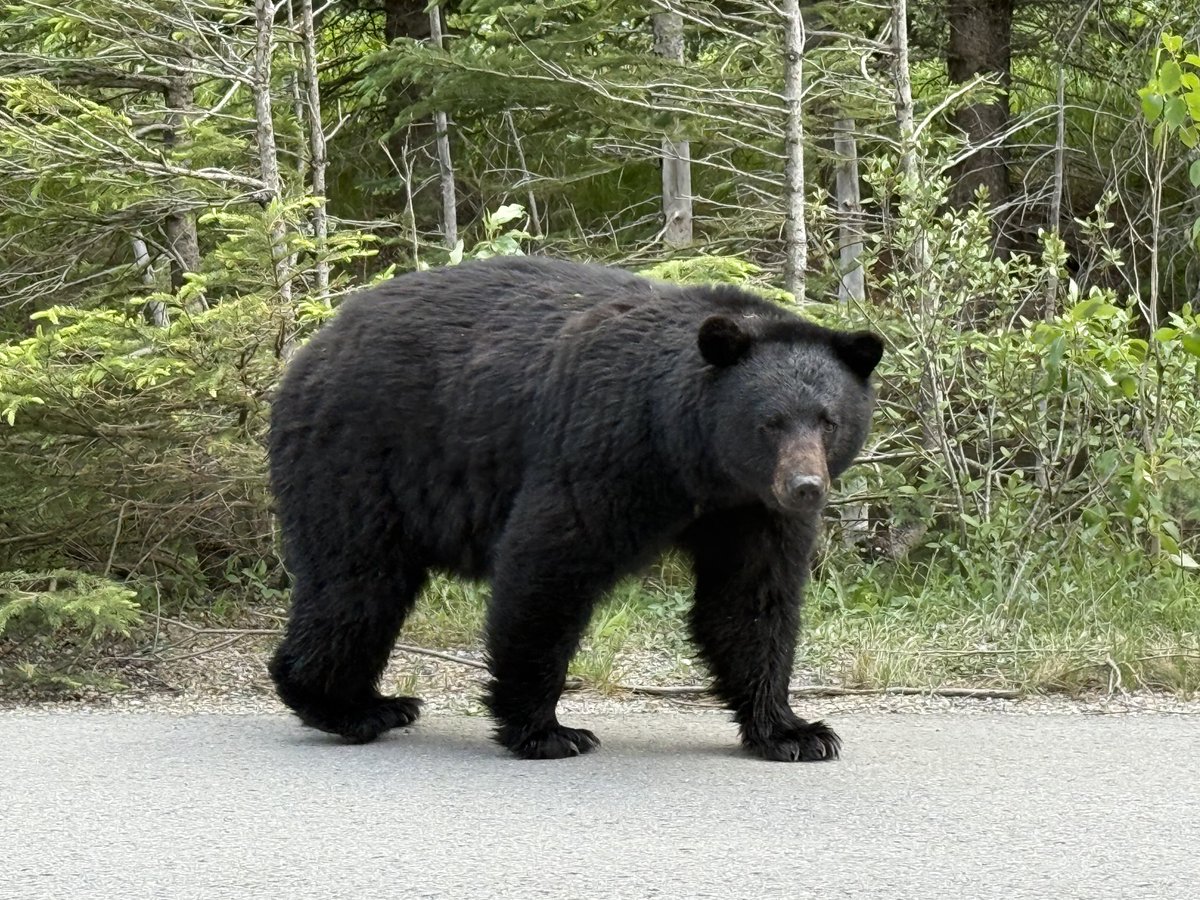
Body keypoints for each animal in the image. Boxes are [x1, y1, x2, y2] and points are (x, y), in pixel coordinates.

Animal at [267, 255, 883, 762]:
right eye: (770, 422)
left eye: (828, 420)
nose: (805, 487)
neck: (694, 458)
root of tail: (314, 347)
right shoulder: (607, 445)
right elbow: (550, 563)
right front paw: (545, 729)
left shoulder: (750, 510)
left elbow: (751, 599)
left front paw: (794, 731)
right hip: (362, 455)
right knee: (356, 582)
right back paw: (349, 707)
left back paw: (371, 703)